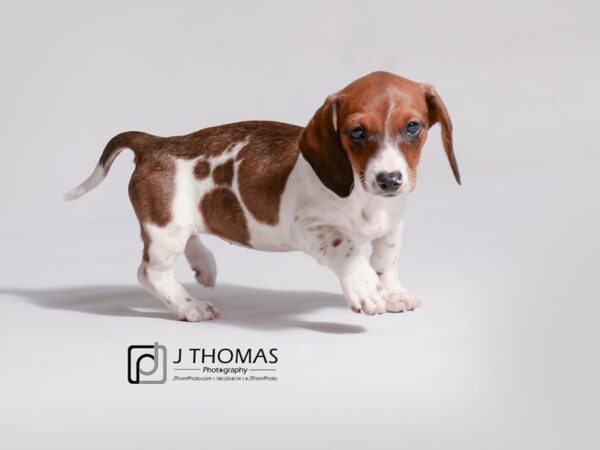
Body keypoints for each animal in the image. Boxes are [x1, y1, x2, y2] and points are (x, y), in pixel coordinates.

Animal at [64, 71, 460, 320]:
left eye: (413, 127)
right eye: (357, 132)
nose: (389, 180)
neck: (363, 195)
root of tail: (156, 144)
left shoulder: (392, 227)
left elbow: (385, 261)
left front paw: (392, 292)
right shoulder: (312, 227)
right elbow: (349, 250)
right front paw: (365, 287)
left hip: (177, 224)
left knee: (189, 239)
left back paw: (203, 263)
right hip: (165, 231)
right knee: (151, 273)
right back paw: (191, 307)